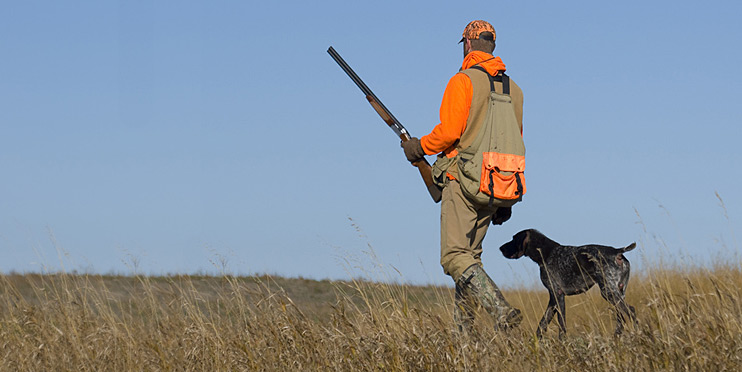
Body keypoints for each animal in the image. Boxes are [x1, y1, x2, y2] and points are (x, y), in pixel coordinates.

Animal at [502, 228, 636, 338]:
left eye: (513, 239)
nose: (500, 248)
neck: (545, 254)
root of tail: (617, 252)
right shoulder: (553, 298)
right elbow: (542, 324)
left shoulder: (558, 294)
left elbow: (562, 326)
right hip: (618, 292)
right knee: (621, 317)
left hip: (608, 291)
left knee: (631, 311)